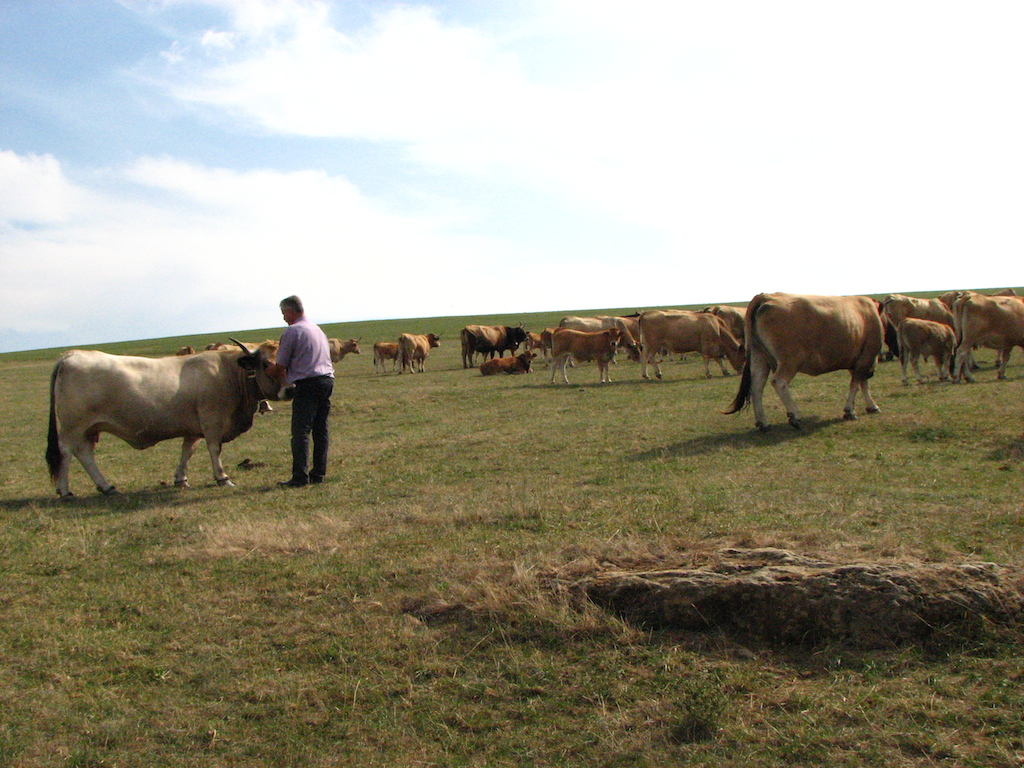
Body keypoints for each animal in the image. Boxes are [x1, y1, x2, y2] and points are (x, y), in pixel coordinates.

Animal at [46, 339, 290, 497]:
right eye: (266, 364)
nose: (291, 389)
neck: (229, 372)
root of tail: (71, 355)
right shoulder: (212, 421)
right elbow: (214, 449)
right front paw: (223, 478)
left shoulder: (194, 428)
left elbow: (187, 451)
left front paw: (181, 479)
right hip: (73, 427)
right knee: (69, 453)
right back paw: (69, 490)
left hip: (88, 429)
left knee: (84, 454)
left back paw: (104, 487)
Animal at [725, 293, 883, 431]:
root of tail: (766, 296)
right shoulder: (865, 358)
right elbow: (856, 384)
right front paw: (850, 411)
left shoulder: (858, 361)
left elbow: (862, 383)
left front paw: (871, 405)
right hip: (790, 360)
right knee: (779, 382)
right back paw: (794, 415)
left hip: (759, 357)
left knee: (757, 387)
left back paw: (763, 423)